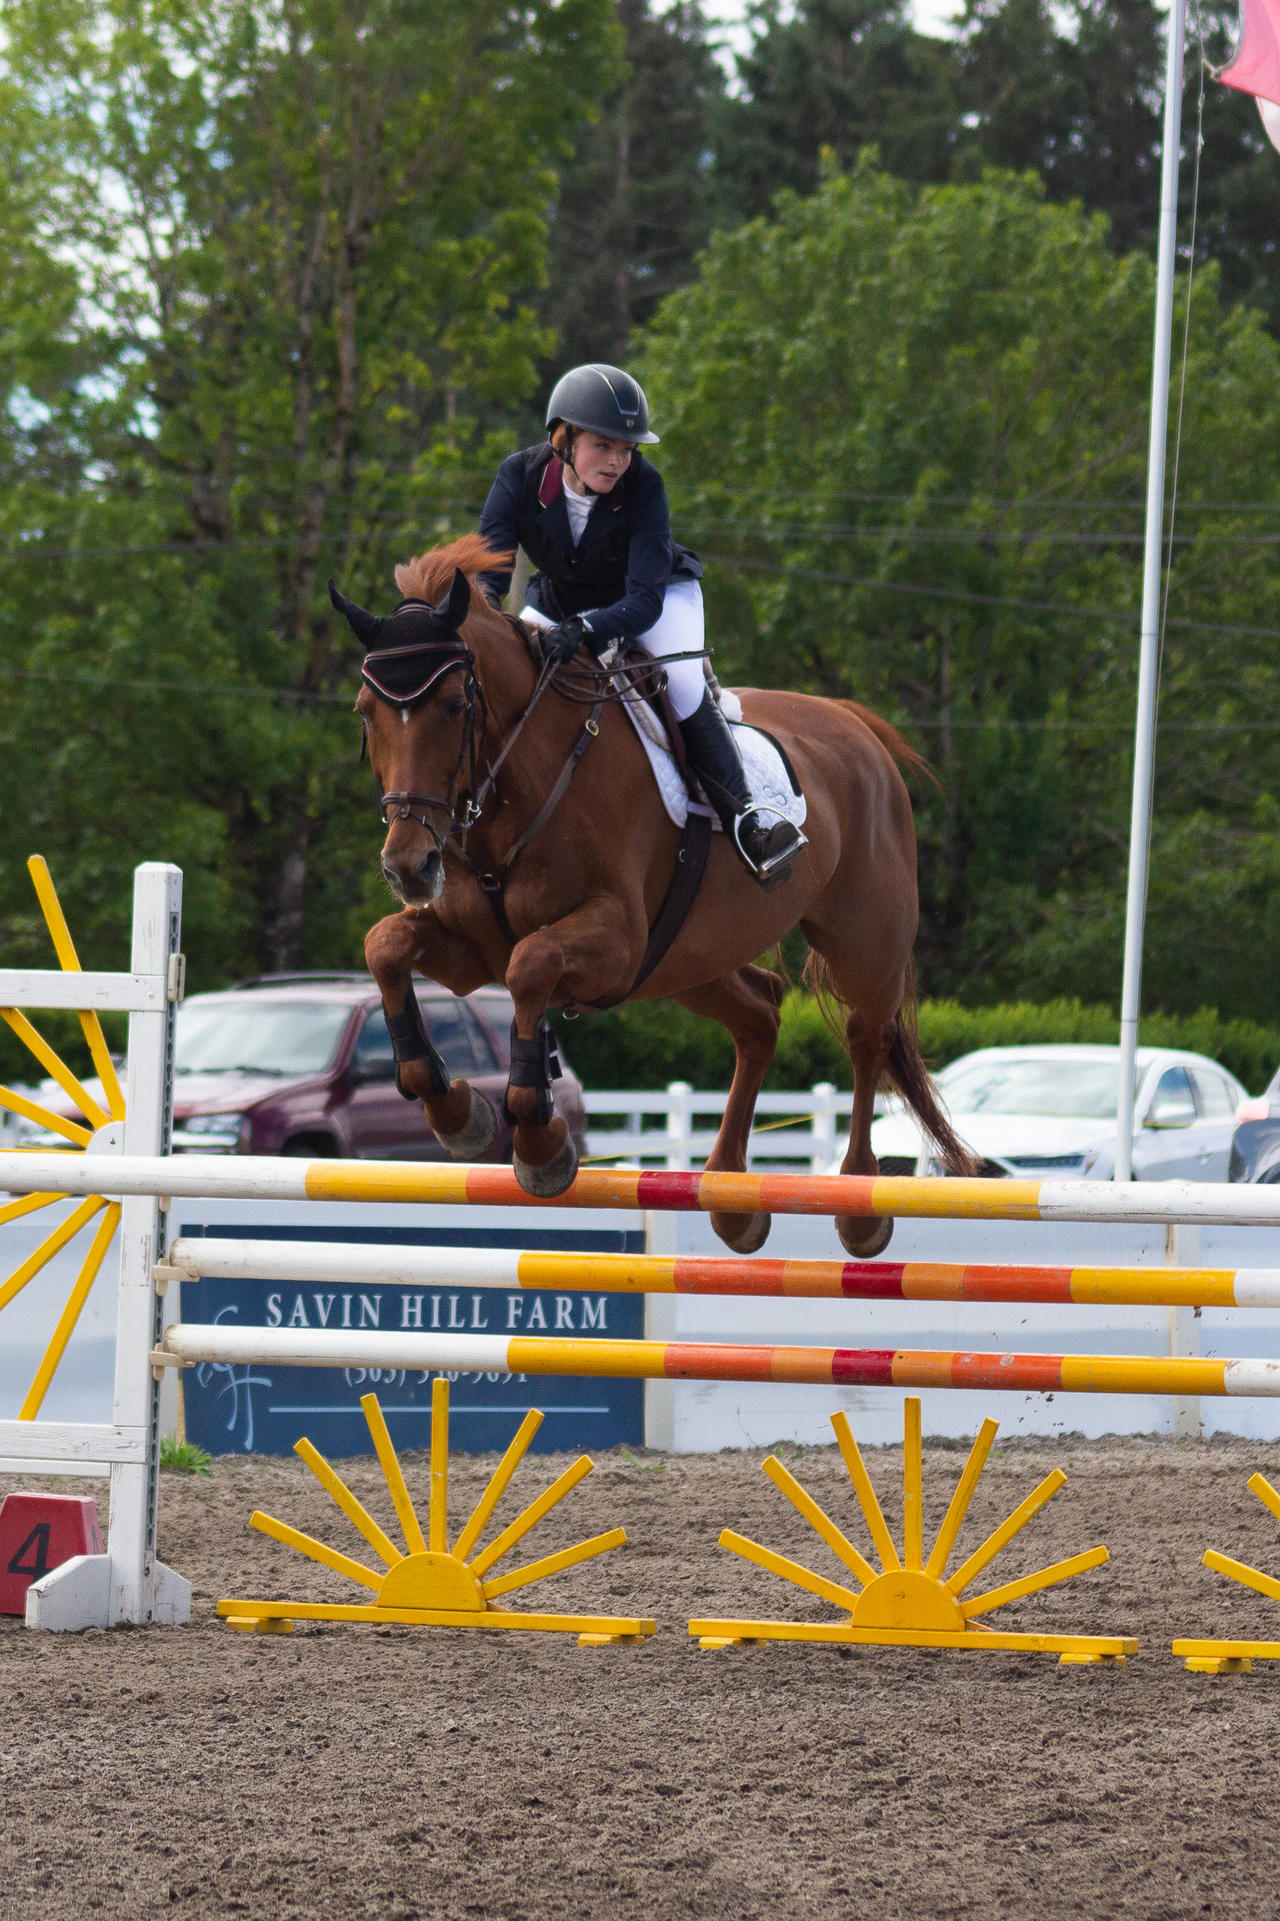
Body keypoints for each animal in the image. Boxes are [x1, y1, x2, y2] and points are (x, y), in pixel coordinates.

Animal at [333, 533, 973, 1258]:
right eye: (365, 712)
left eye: (452, 707)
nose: (408, 867)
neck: (520, 784)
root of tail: (858, 726)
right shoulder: (472, 952)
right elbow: (386, 945)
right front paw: (458, 1113)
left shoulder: (615, 941)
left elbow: (530, 964)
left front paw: (540, 1144)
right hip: (685, 960)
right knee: (760, 1014)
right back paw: (730, 1193)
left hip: (859, 941)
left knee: (868, 1038)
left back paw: (859, 1203)